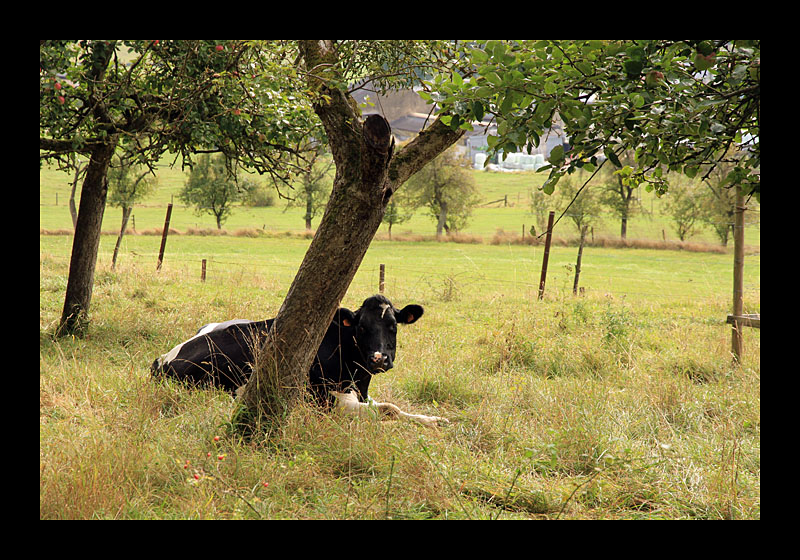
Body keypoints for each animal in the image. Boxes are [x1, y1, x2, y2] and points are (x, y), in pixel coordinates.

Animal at [149, 296, 446, 422]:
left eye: (393, 326)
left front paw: (433, 420)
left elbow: (395, 408)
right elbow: (387, 410)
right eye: (361, 328)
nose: (379, 358)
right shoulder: (327, 401)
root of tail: (163, 359)